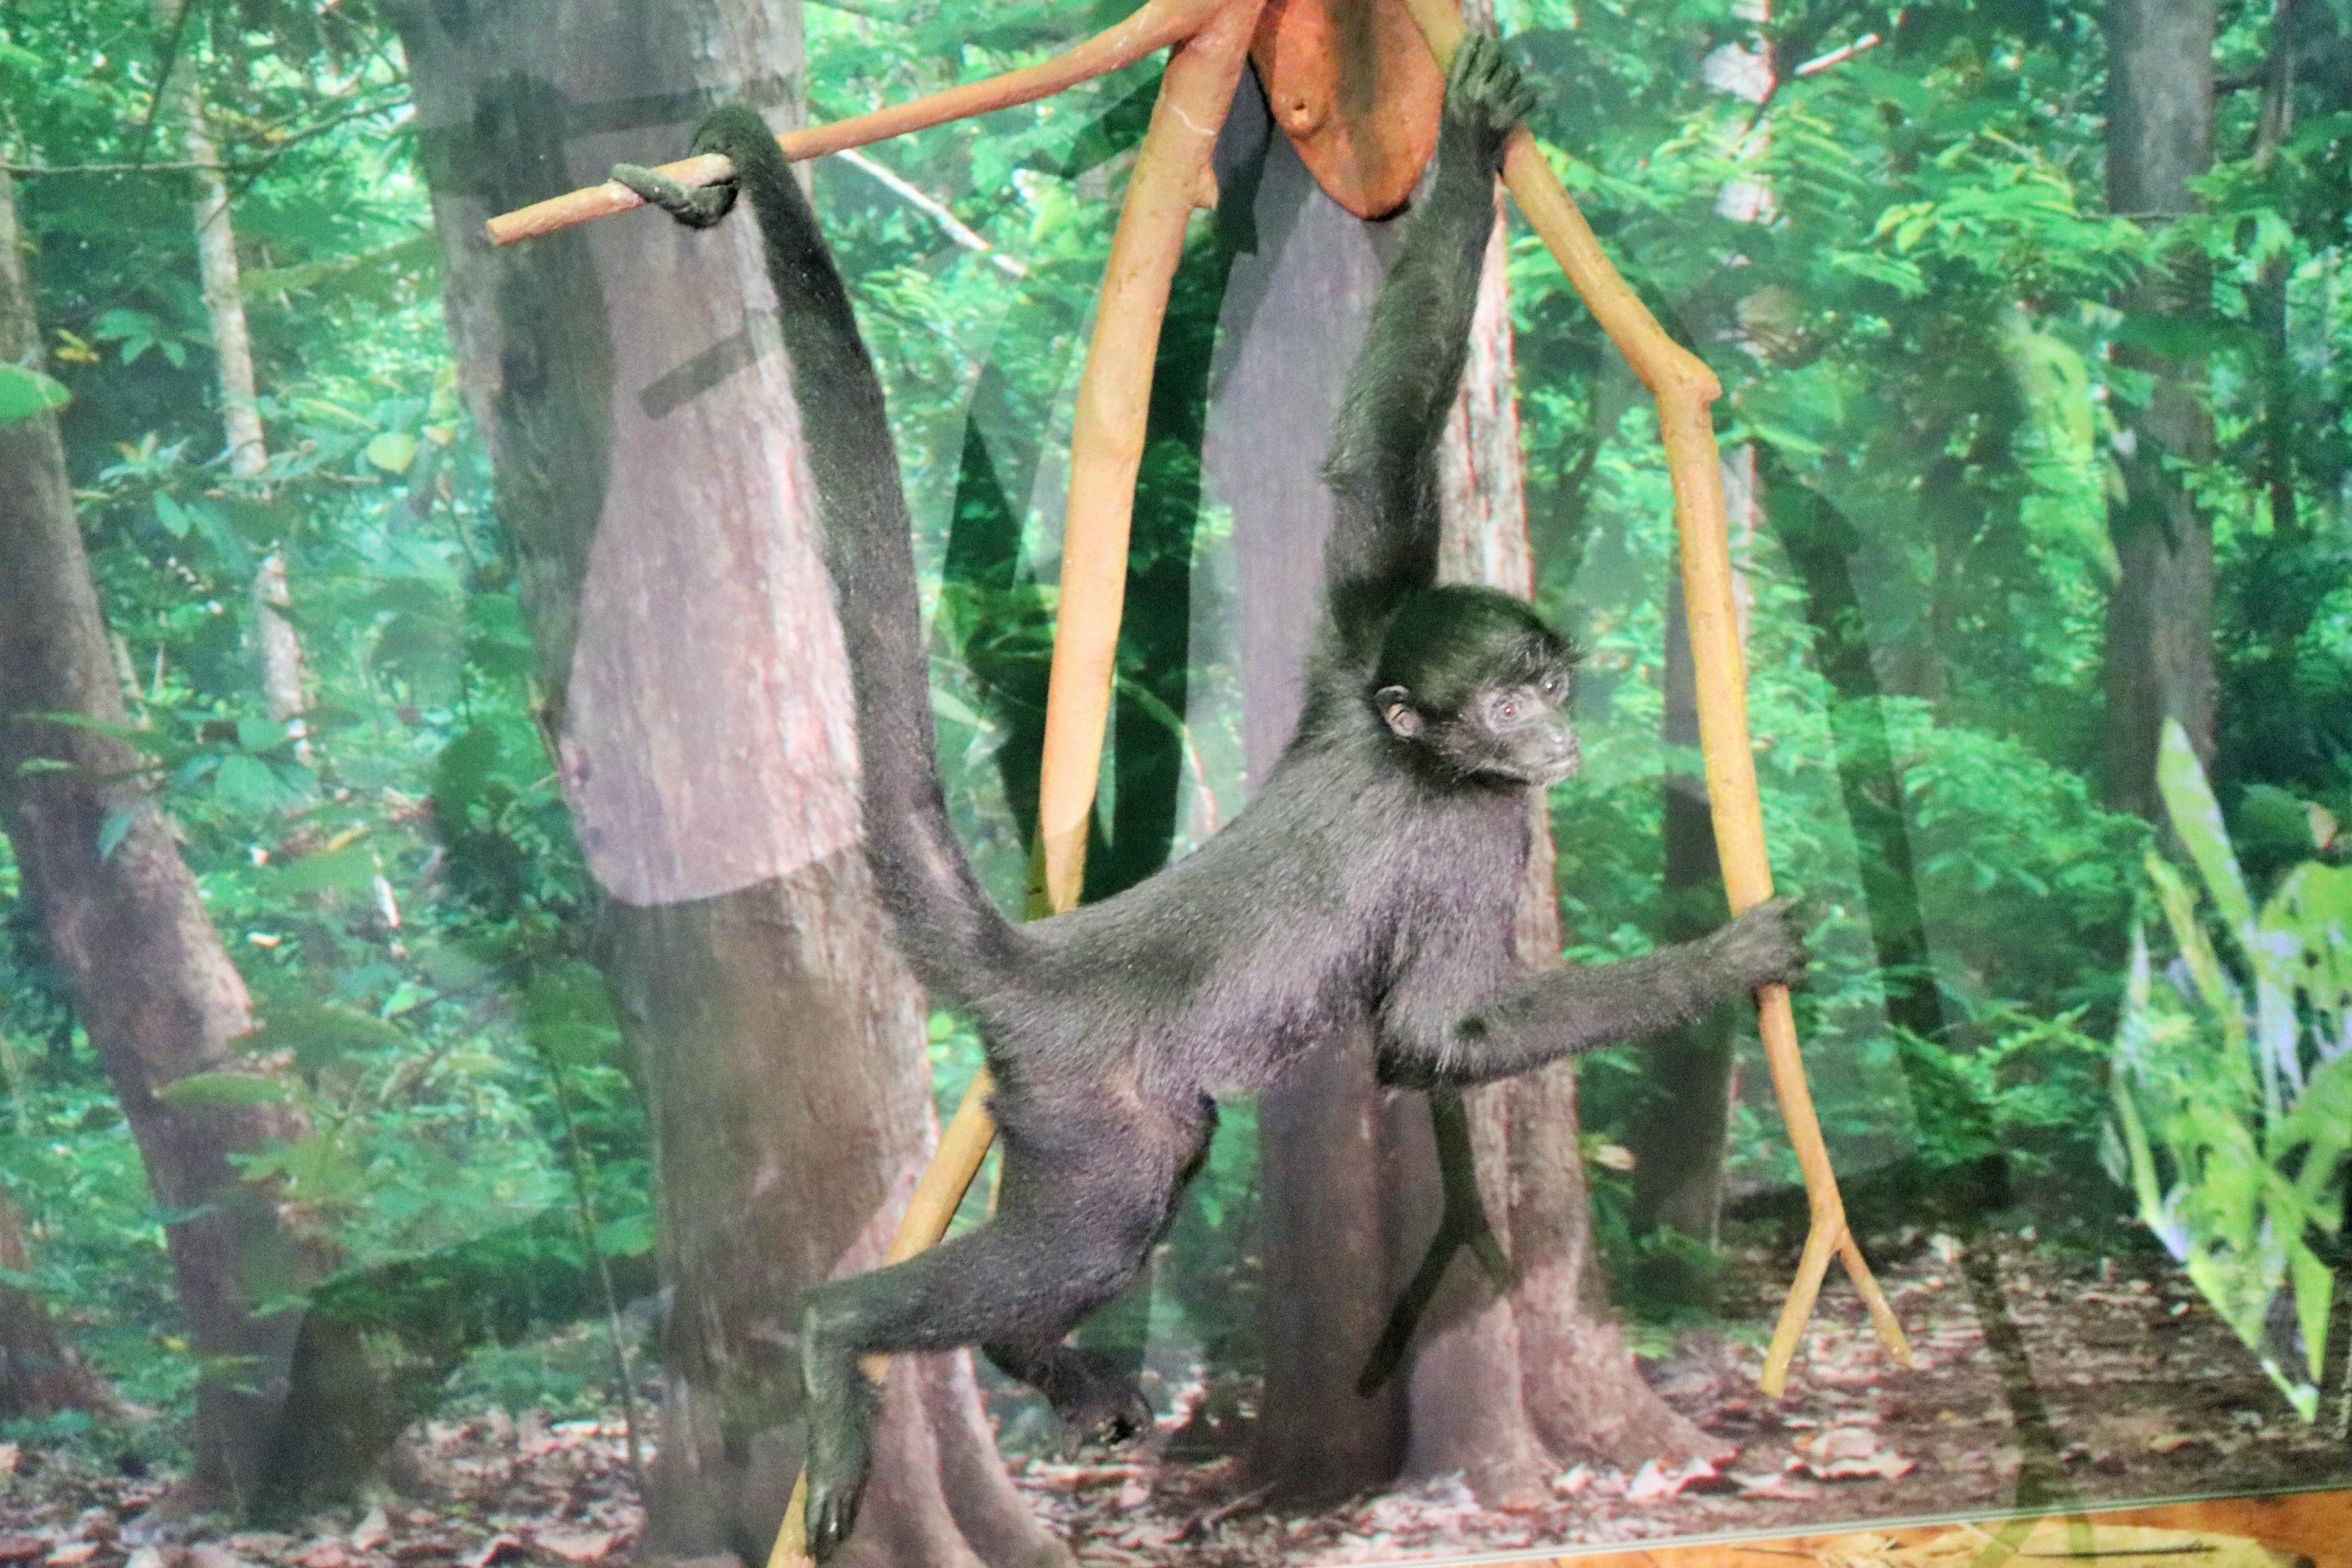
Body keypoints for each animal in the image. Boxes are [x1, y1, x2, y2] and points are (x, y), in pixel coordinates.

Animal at [615, 36, 1805, 1559]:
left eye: (1551, 679)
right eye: (1514, 703)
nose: (1555, 729)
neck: (1405, 747)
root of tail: (1048, 962)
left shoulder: (1358, 651)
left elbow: (1371, 460)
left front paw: (1468, 150)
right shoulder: (1476, 820)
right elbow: (1439, 1038)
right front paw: (1736, 956)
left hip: (1057, 1112)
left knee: (1156, 1179)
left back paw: (1026, 1357)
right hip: (1091, 1113)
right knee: (1106, 1220)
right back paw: (839, 1336)